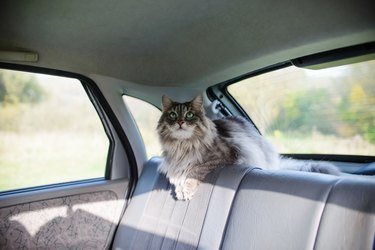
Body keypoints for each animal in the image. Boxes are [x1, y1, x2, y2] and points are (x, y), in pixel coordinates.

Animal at [156, 94, 340, 200]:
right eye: (172, 115)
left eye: (189, 115)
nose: (180, 122)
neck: (182, 145)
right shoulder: (173, 162)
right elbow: (177, 173)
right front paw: (178, 184)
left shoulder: (223, 155)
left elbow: (194, 170)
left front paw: (185, 189)